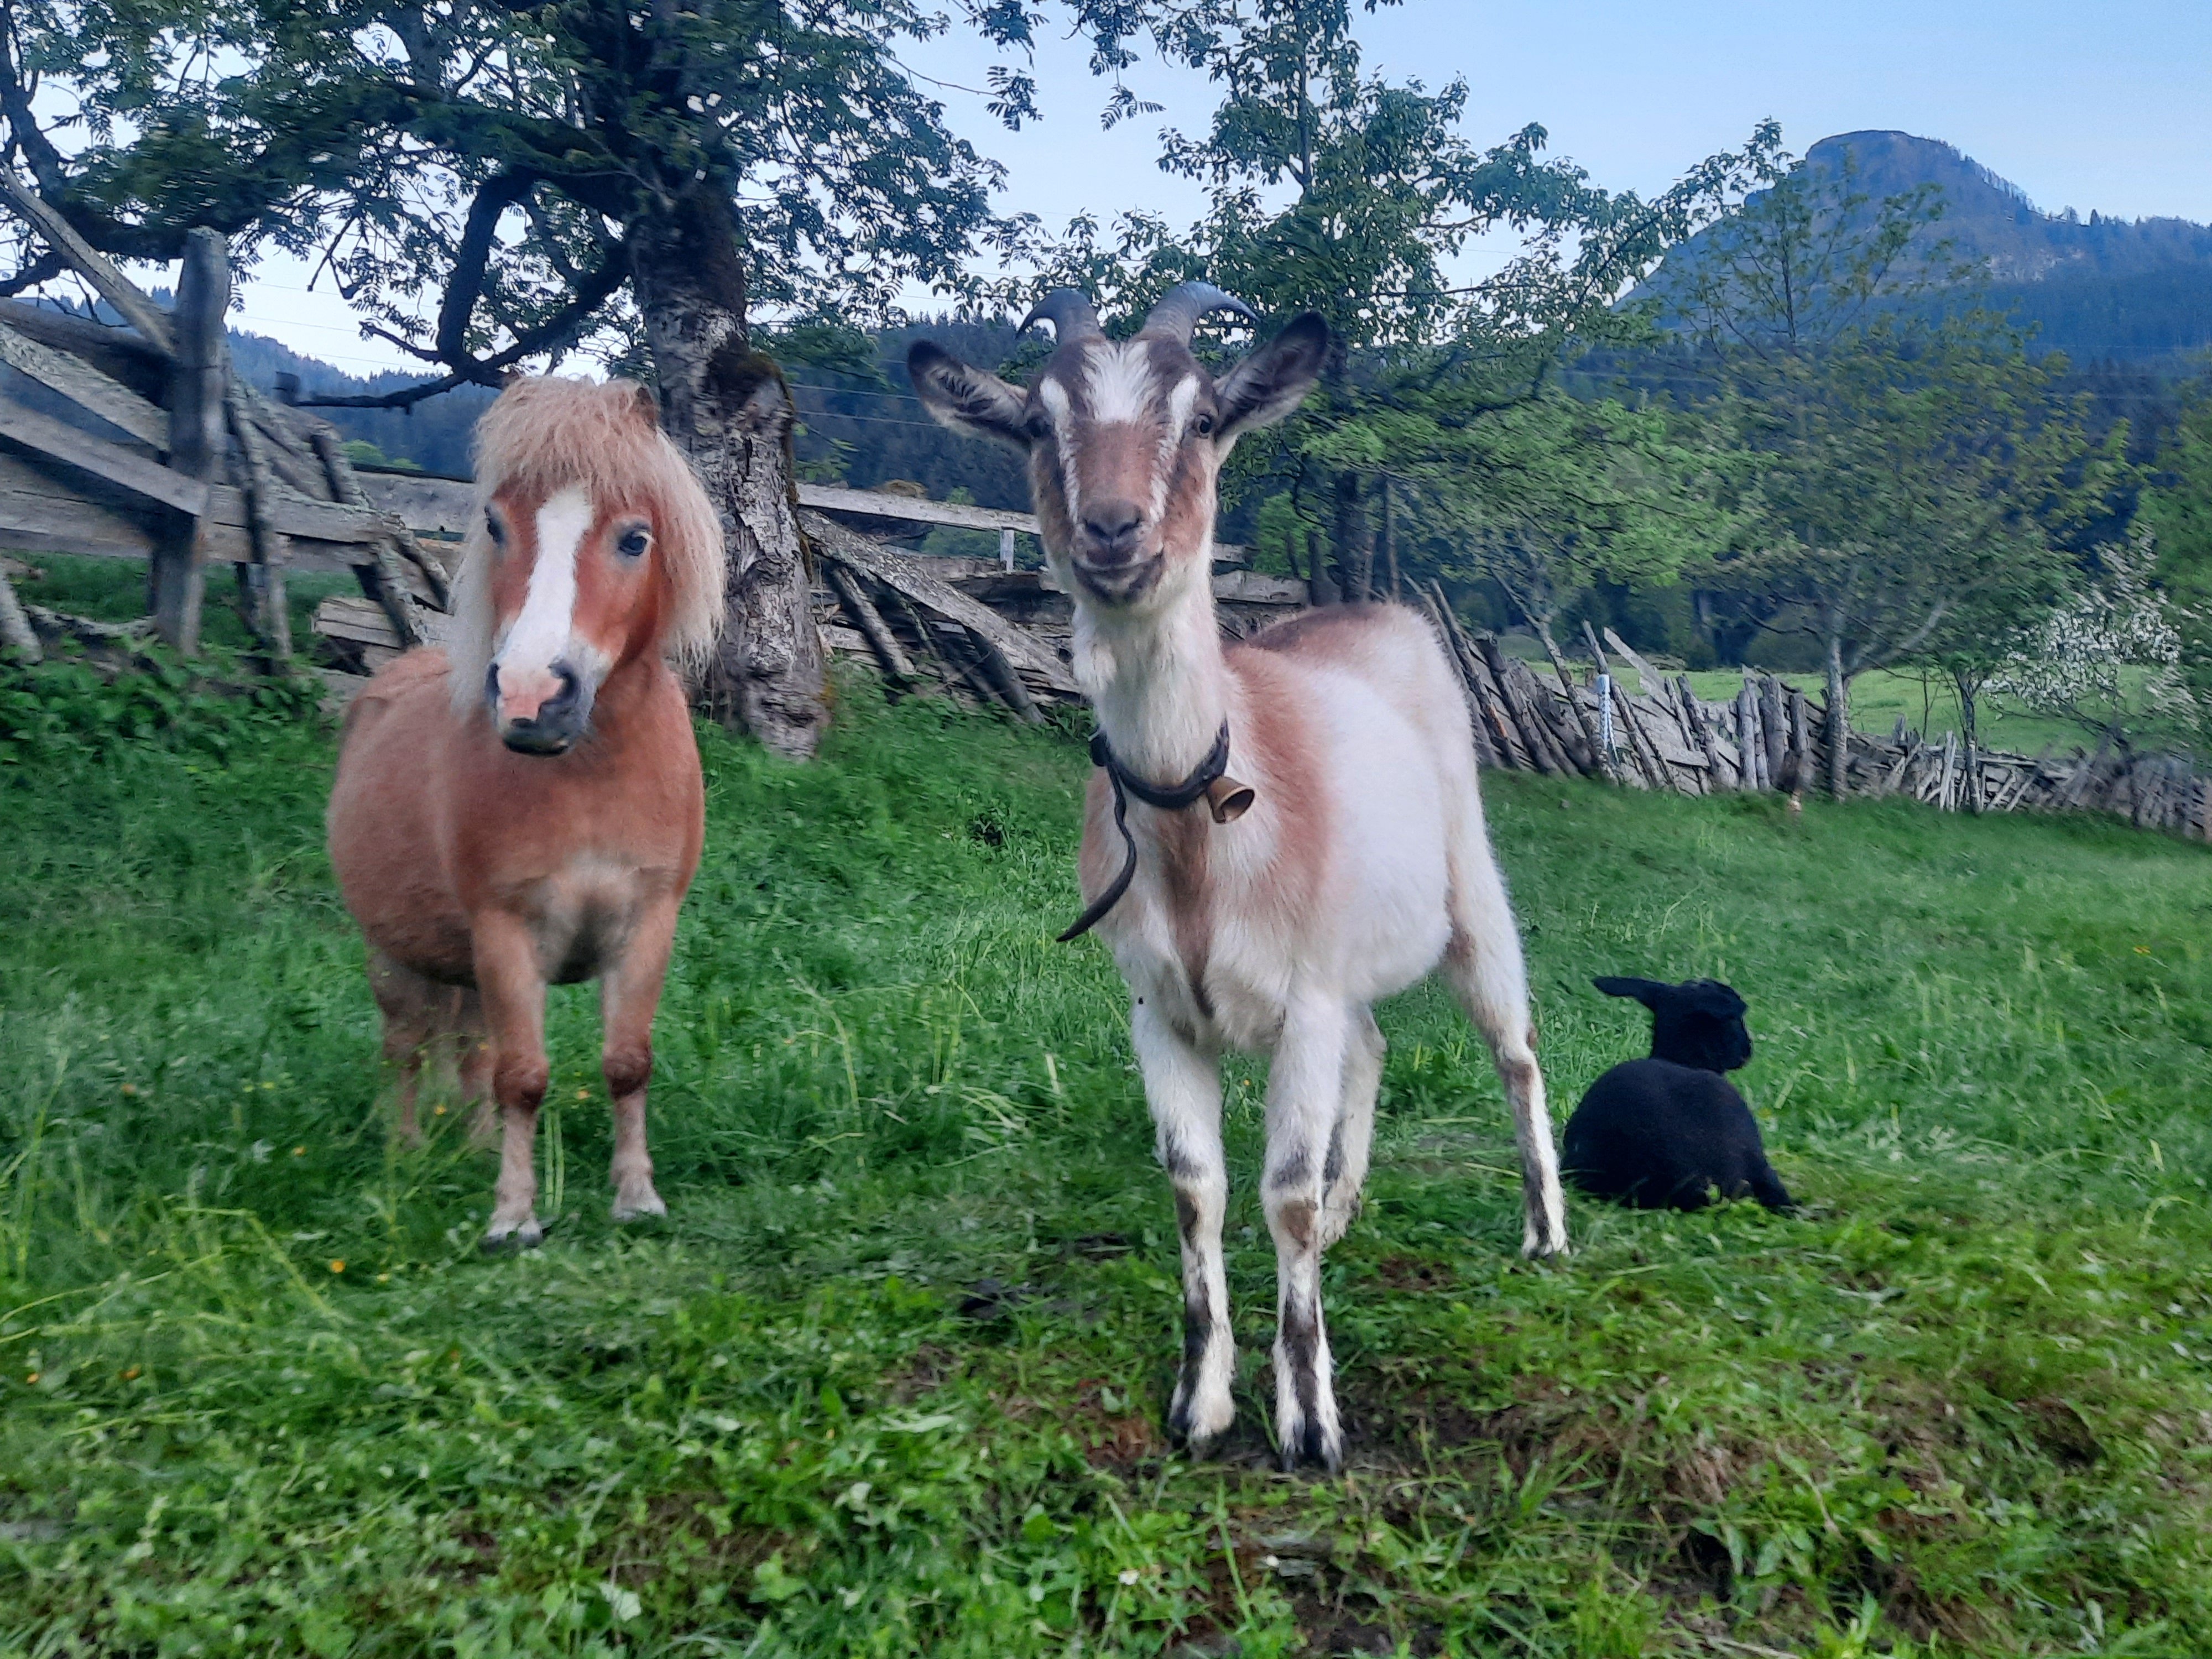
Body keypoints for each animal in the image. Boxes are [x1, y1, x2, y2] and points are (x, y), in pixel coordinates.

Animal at [326, 376, 726, 1249]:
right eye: (495, 525)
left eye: (635, 539)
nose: (532, 699)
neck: (590, 781)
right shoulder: (506, 934)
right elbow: (523, 1076)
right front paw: (513, 1218)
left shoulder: (646, 926)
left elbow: (624, 1064)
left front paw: (636, 1199)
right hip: (395, 957)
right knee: (406, 1049)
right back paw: (406, 1153)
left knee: (468, 1049)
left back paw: (472, 1148)